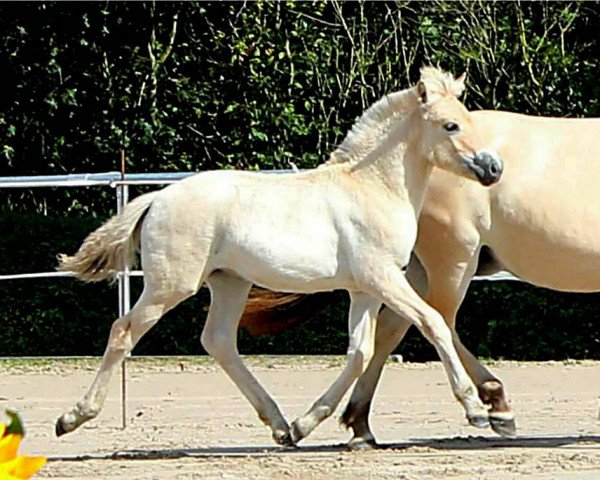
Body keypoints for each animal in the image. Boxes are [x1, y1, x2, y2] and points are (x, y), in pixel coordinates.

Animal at [54, 67, 502, 446]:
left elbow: (361, 352)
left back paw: (281, 426)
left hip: (229, 282)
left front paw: (307, 424)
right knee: (124, 331)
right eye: (450, 125)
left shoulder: (365, 290)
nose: (493, 168)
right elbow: (433, 322)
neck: (371, 187)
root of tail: (157, 199)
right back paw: (71, 418)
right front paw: (477, 409)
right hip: (170, 285)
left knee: (218, 340)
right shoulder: (382, 278)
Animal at [241, 106, 600, 450]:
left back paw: (356, 425)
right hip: (453, 259)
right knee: (440, 320)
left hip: (414, 270)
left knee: (392, 329)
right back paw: (494, 403)